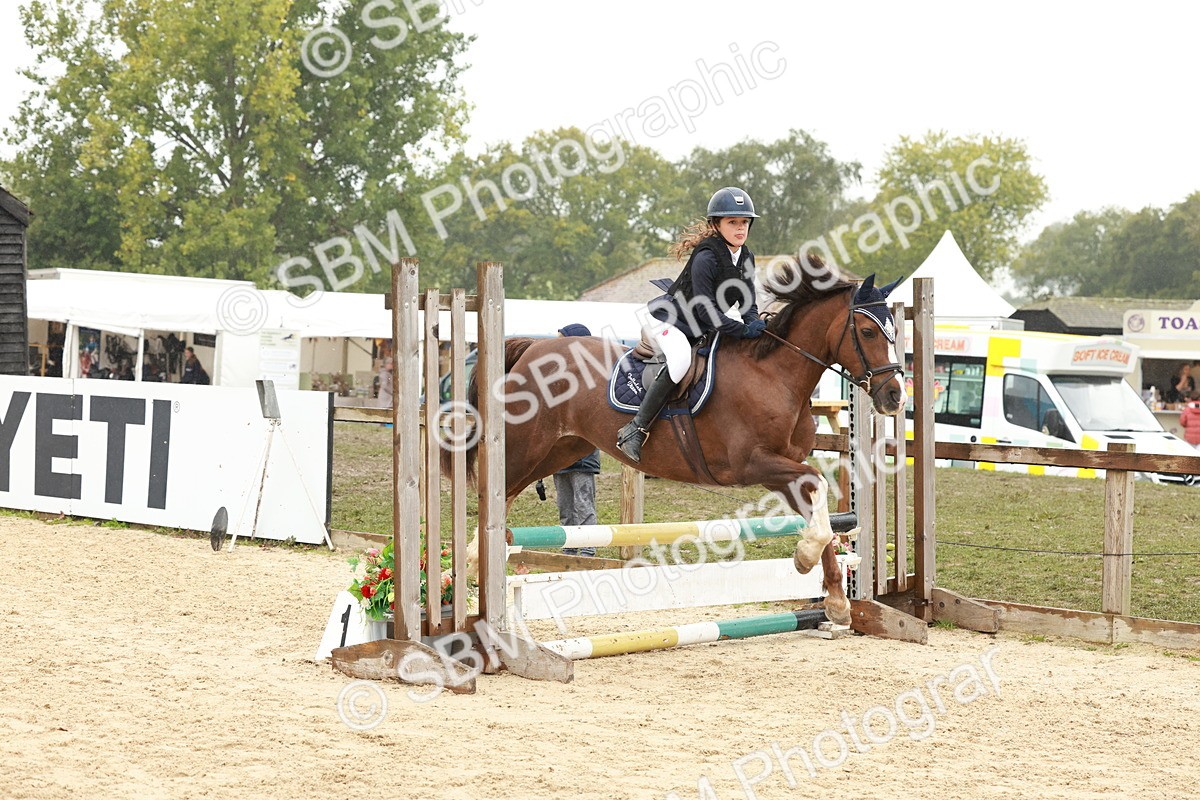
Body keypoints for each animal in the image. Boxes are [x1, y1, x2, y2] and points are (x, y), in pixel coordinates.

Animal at [452, 258, 906, 626]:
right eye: (868, 331)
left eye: (894, 331)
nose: (895, 396)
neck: (775, 375)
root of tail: (534, 346)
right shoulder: (753, 464)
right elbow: (818, 484)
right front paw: (807, 560)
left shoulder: (781, 470)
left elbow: (821, 516)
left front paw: (834, 600)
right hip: (529, 442)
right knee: (496, 489)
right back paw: (473, 565)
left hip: (564, 448)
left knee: (510, 491)